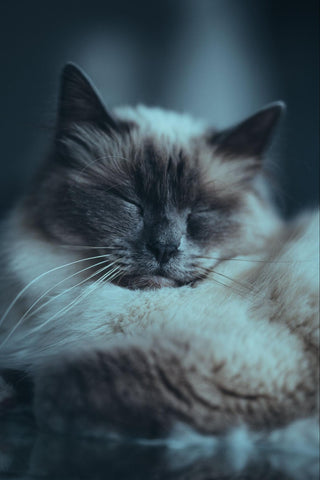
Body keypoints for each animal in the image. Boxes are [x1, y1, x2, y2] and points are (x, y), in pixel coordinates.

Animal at [0, 64, 318, 454]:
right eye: (129, 202)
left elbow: (58, 385)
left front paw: (25, 389)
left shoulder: (246, 367)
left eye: (199, 211)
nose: (164, 247)